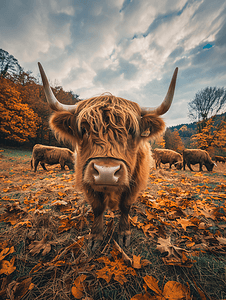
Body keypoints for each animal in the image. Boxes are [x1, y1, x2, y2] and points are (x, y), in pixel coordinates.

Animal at [37, 61, 178, 248]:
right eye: (84, 130)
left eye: (132, 131)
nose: (106, 173)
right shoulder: (87, 181)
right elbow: (97, 208)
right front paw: (96, 236)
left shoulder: (134, 183)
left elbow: (125, 206)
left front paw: (124, 233)